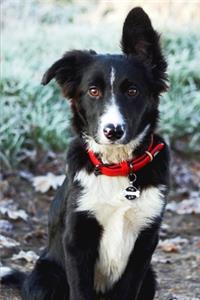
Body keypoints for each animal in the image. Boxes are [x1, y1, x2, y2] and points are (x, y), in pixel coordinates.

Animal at [1, 7, 170, 300]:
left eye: (132, 91)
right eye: (93, 91)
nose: (113, 131)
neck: (117, 167)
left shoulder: (144, 244)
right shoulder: (78, 239)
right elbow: (80, 290)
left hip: (150, 278)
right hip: (46, 278)